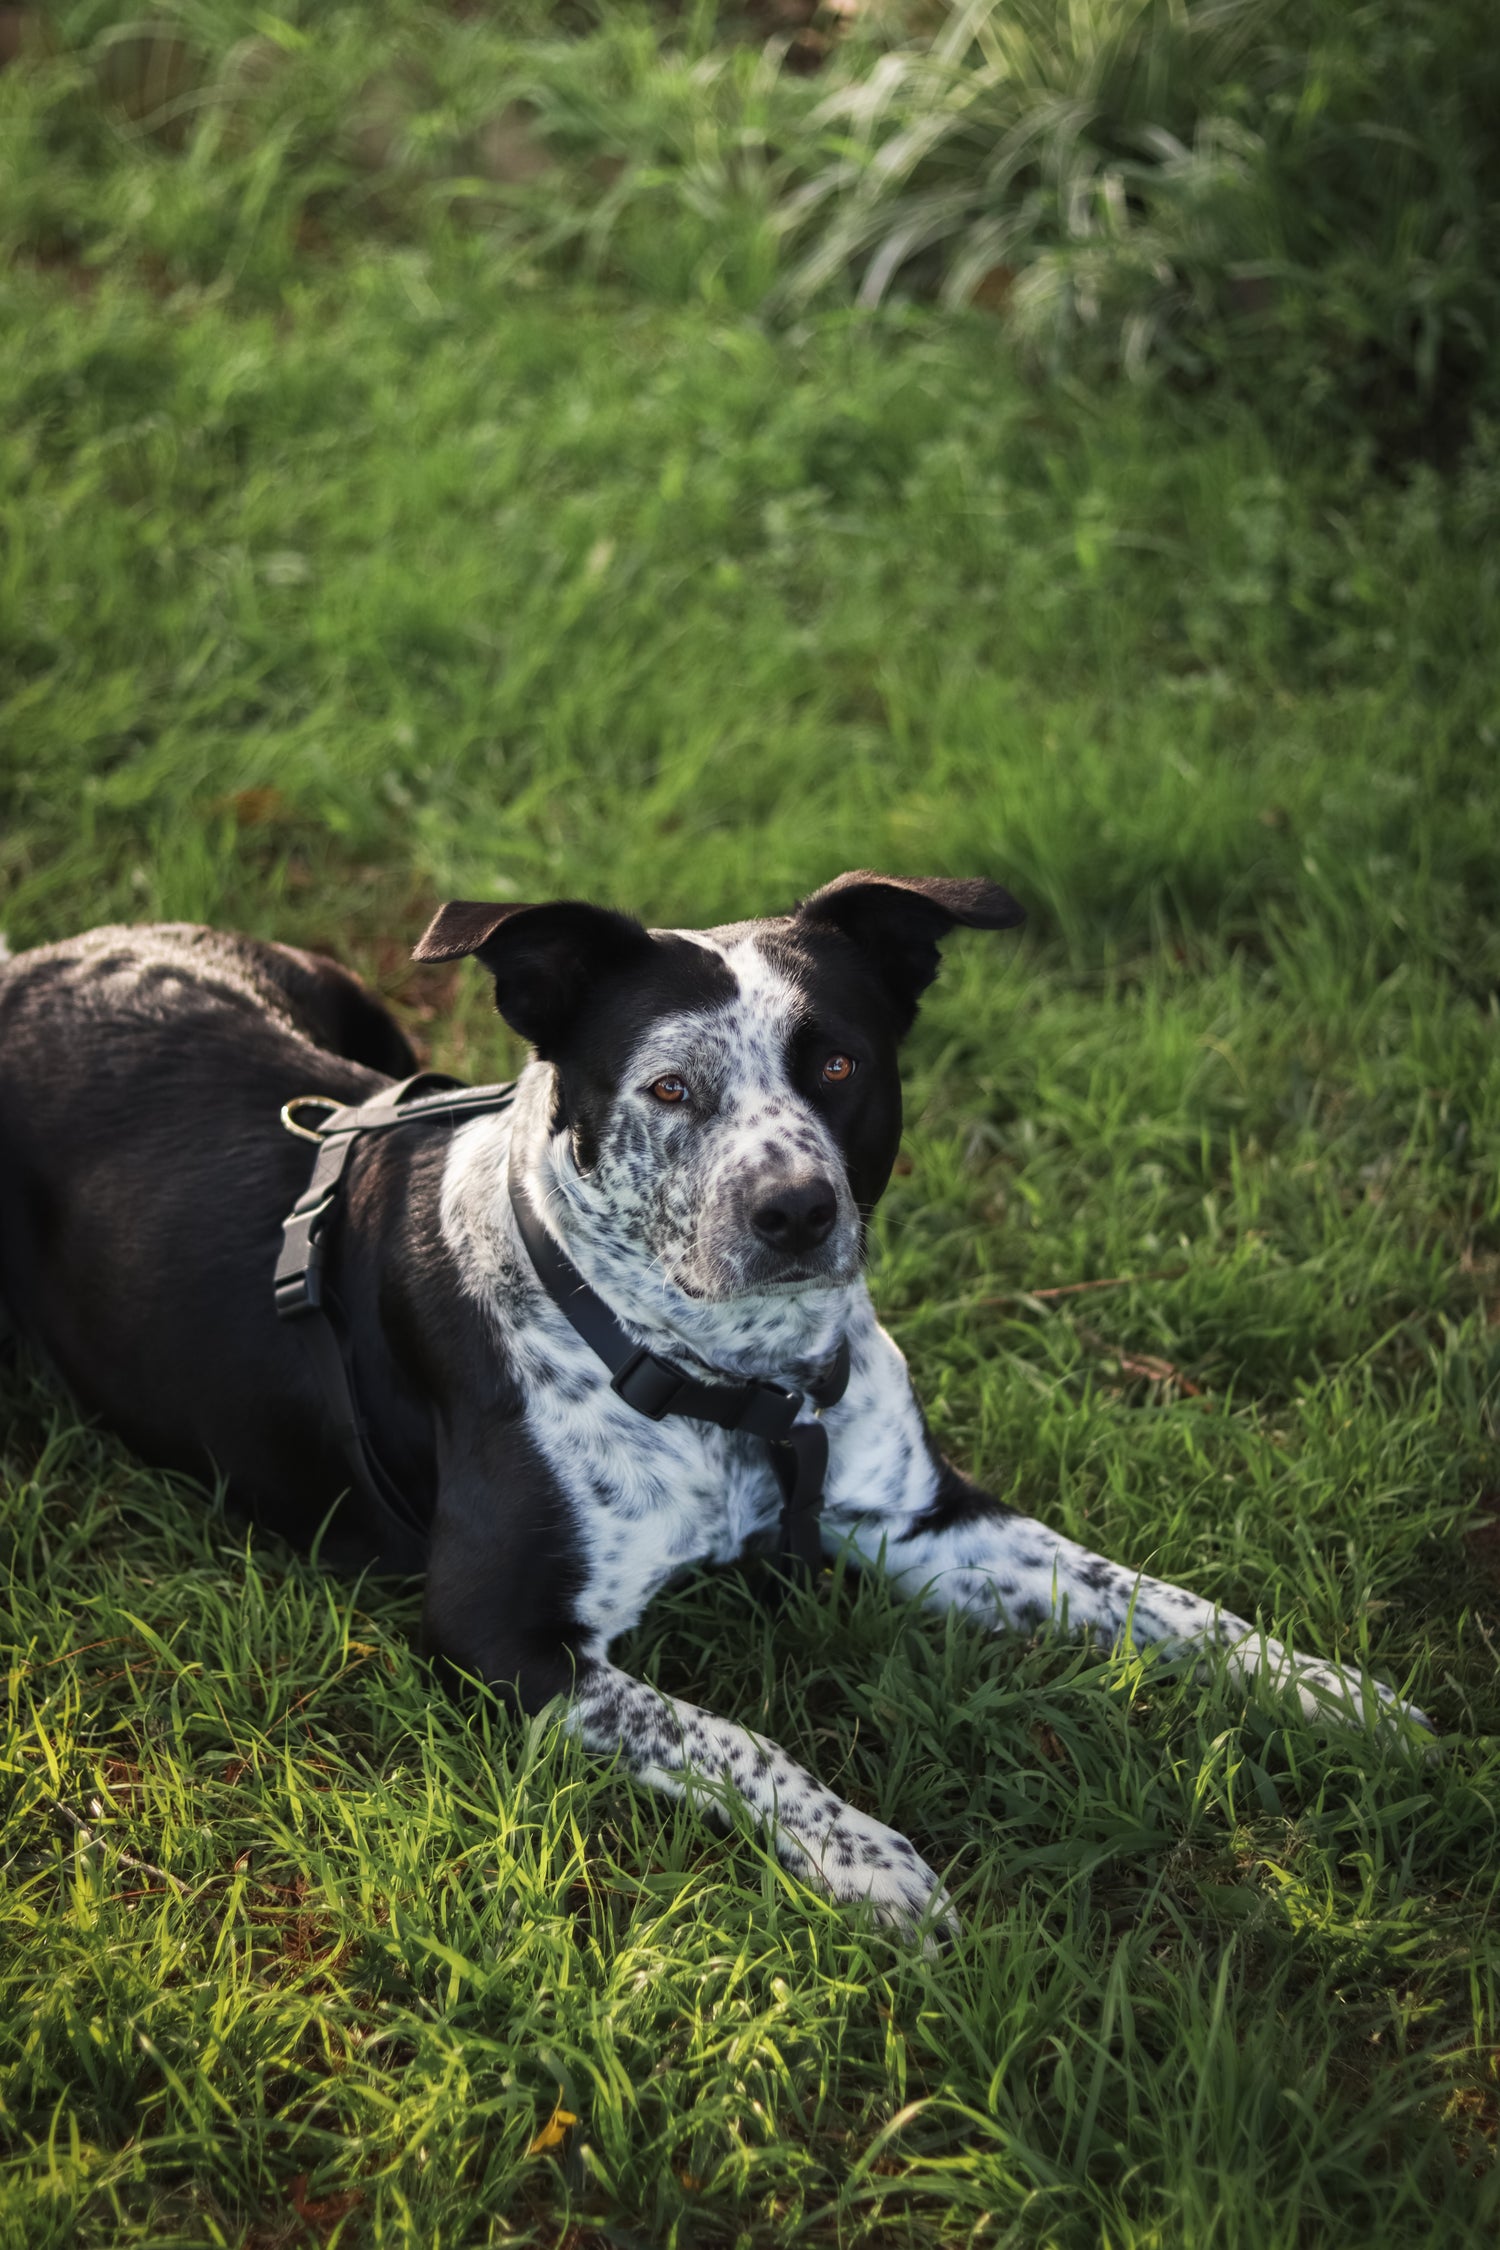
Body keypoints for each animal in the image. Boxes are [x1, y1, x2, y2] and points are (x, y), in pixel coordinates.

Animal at [0, 873, 1430, 1935]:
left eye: (840, 1065)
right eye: (671, 1088)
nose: (793, 1211)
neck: (729, 1379)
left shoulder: (926, 1522)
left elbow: (1162, 1601)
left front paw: (1334, 1695)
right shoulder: (504, 1640)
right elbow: (737, 1738)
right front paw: (873, 1860)